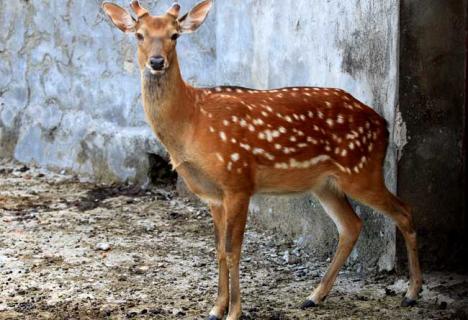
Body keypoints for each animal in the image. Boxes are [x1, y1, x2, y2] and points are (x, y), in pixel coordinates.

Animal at [103, 1, 424, 318]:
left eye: (174, 35)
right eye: (140, 35)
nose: (157, 62)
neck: (191, 122)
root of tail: (383, 123)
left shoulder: (238, 180)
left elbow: (233, 248)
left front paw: (234, 311)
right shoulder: (213, 195)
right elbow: (218, 249)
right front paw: (216, 308)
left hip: (361, 169)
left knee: (404, 211)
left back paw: (411, 293)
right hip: (325, 183)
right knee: (351, 225)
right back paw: (314, 296)